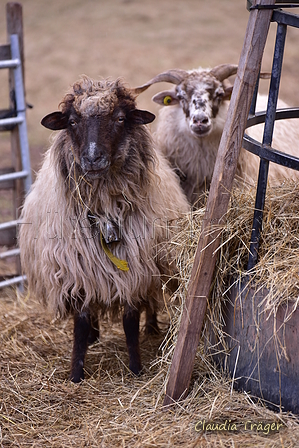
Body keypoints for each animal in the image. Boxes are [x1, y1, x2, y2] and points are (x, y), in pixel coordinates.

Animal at [18, 76, 189, 382]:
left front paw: (136, 368)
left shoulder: (136, 268)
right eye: (72, 121)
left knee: (151, 300)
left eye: (120, 118)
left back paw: (152, 327)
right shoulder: (78, 269)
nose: (93, 158)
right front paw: (76, 372)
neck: (104, 209)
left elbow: (130, 322)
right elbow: (81, 323)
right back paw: (95, 336)